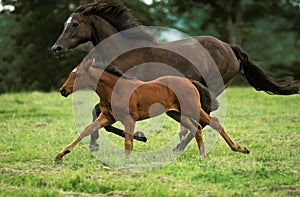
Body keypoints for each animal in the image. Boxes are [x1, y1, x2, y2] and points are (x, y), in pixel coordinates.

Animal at [55, 57, 248, 161]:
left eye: (79, 74)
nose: (63, 90)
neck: (114, 89)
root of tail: (190, 82)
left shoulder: (129, 118)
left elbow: (128, 142)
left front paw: (126, 161)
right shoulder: (107, 117)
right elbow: (87, 130)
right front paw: (61, 154)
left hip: (192, 108)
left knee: (214, 122)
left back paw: (239, 148)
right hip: (176, 113)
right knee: (197, 127)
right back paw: (202, 156)